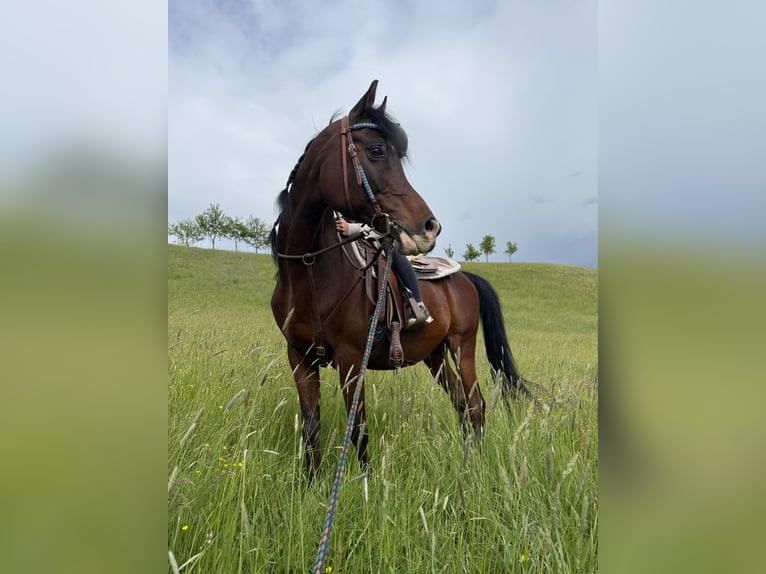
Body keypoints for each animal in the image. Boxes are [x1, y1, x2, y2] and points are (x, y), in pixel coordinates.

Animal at [270, 80, 529, 479]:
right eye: (376, 150)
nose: (430, 227)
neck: (309, 272)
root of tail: (465, 278)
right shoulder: (299, 357)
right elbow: (312, 425)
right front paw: (311, 483)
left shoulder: (351, 360)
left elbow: (358, 428)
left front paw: (362, 484)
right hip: (435, 357)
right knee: (461, 404)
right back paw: (466, 463)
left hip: (462, 346)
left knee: (475, 404)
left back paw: (475, 467)